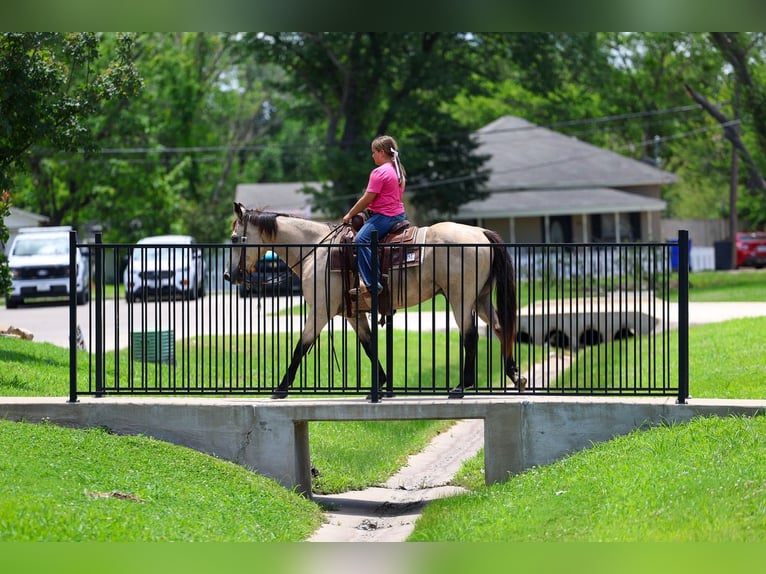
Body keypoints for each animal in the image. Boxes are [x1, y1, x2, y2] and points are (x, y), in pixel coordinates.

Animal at [223, 202, 526, 399]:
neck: (316, 249)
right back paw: (514, 375)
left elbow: (301, 345)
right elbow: (369, 345)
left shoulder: (320, 310)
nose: (228, 275)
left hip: (461, 297)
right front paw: (382, 383)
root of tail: (480, 233)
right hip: (481, 297)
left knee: (471, 335)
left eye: (235, 238)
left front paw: (281, 388)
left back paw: (463, 386)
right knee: (500, 327)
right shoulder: (352, 313)